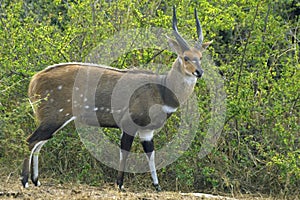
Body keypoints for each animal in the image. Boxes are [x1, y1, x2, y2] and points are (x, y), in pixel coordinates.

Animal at [21, 5, 212, 191]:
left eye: (200, 57)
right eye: (185, 57)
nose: (199, 72)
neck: (161, 90)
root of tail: (34, 81)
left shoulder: (147, 131)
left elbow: (150, 153)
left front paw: (157, 186)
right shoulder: (128, 123)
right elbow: (125, 151)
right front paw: (120, 184)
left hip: (53, 119)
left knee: (39, 142)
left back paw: (36, 181)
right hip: (54, 116)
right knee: (31, 140)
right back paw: (25, 181)